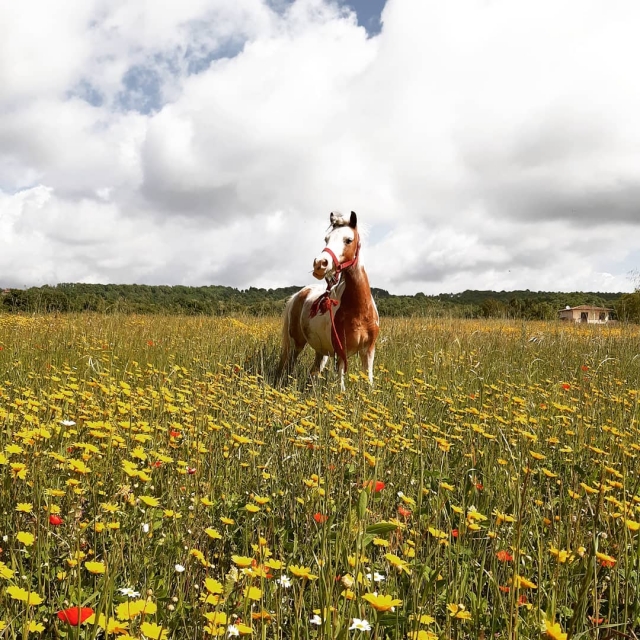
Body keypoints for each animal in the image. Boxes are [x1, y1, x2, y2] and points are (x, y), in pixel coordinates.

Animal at [277, 211, 379, 391]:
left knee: (313, 371)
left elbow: (369, 381)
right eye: (326, 239)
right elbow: (341, 387)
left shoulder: (368, 350)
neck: (360, 311)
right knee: (290, 365)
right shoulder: (341, 352)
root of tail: (298, 295)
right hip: (297, 343)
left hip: (320, 350)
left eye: (348, 239)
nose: (320, 264)